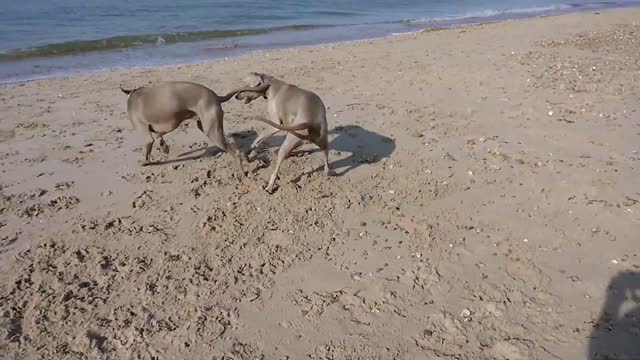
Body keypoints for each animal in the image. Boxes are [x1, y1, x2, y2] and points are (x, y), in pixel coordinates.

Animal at [120, 82, 268, 177]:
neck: (132, 96)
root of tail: (216, 96)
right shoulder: (154, 130)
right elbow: (158, 137)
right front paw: (164, 147)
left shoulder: (145, 133)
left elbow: (148, 147)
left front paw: (145, 163)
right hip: (207, 126)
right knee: (233, 145)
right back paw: (246, 157)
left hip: (211, 131)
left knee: (234, 152)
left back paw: (242, 173)